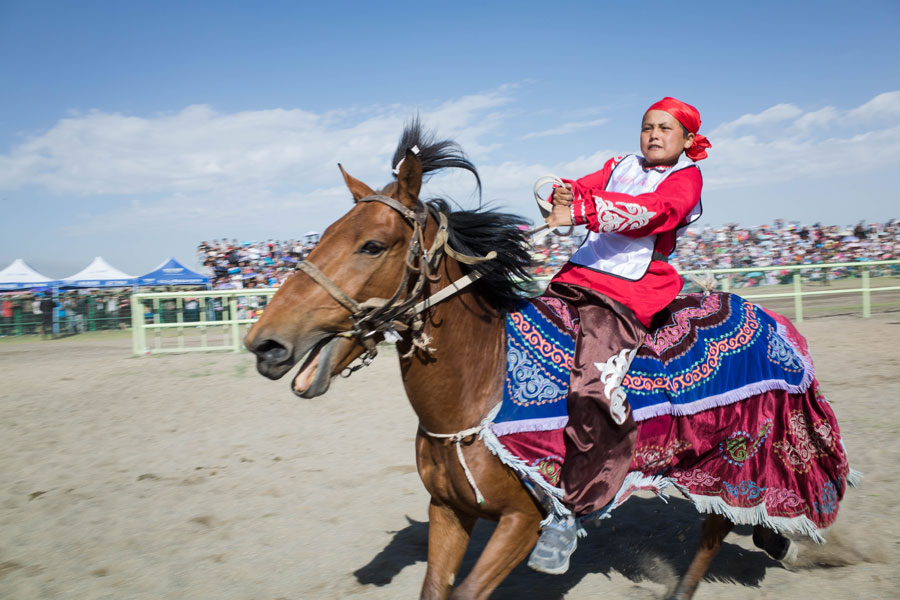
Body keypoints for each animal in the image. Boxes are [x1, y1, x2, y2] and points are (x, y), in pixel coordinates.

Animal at [243, 123, 832, 600]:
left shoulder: (521, 520)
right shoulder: (448, 510)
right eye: (322, 236)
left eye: (371, 245)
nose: (264, 342)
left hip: (740, 462)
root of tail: (779, 326)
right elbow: (436, 589)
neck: (479, 393)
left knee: (717, 529)